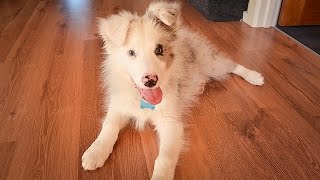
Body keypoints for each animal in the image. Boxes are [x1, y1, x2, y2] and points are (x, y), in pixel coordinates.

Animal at [81, 1, 264, 179]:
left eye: (159, 50)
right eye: (131, 52)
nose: (151, 81)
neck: (143, 100)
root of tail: (185, 32)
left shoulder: (171, 122)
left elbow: (165, 157)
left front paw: (161, 175)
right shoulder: (118, 106)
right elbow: (108, 127)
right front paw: (95, 153)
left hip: (210, 63)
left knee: (230, 64)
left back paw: (254, 76)